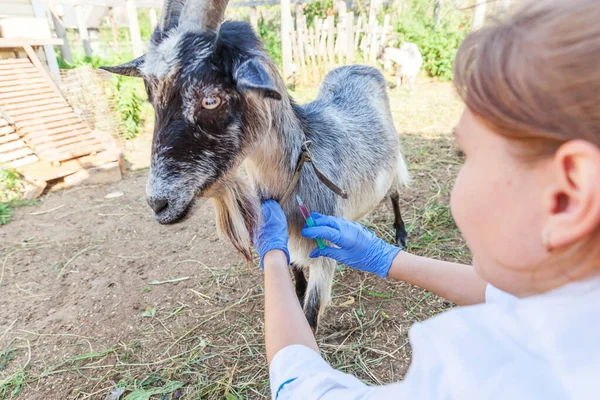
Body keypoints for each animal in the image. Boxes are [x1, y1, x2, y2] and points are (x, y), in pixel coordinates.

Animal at [103, 0, 410, 332]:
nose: (158, 203)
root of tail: (359, 66)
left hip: (393, 163)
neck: (298, 171)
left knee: (394, 192)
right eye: (151, 96)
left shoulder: (323, 250)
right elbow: (293, 278)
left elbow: (309, 315)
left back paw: (400, 234)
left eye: (210, 99)